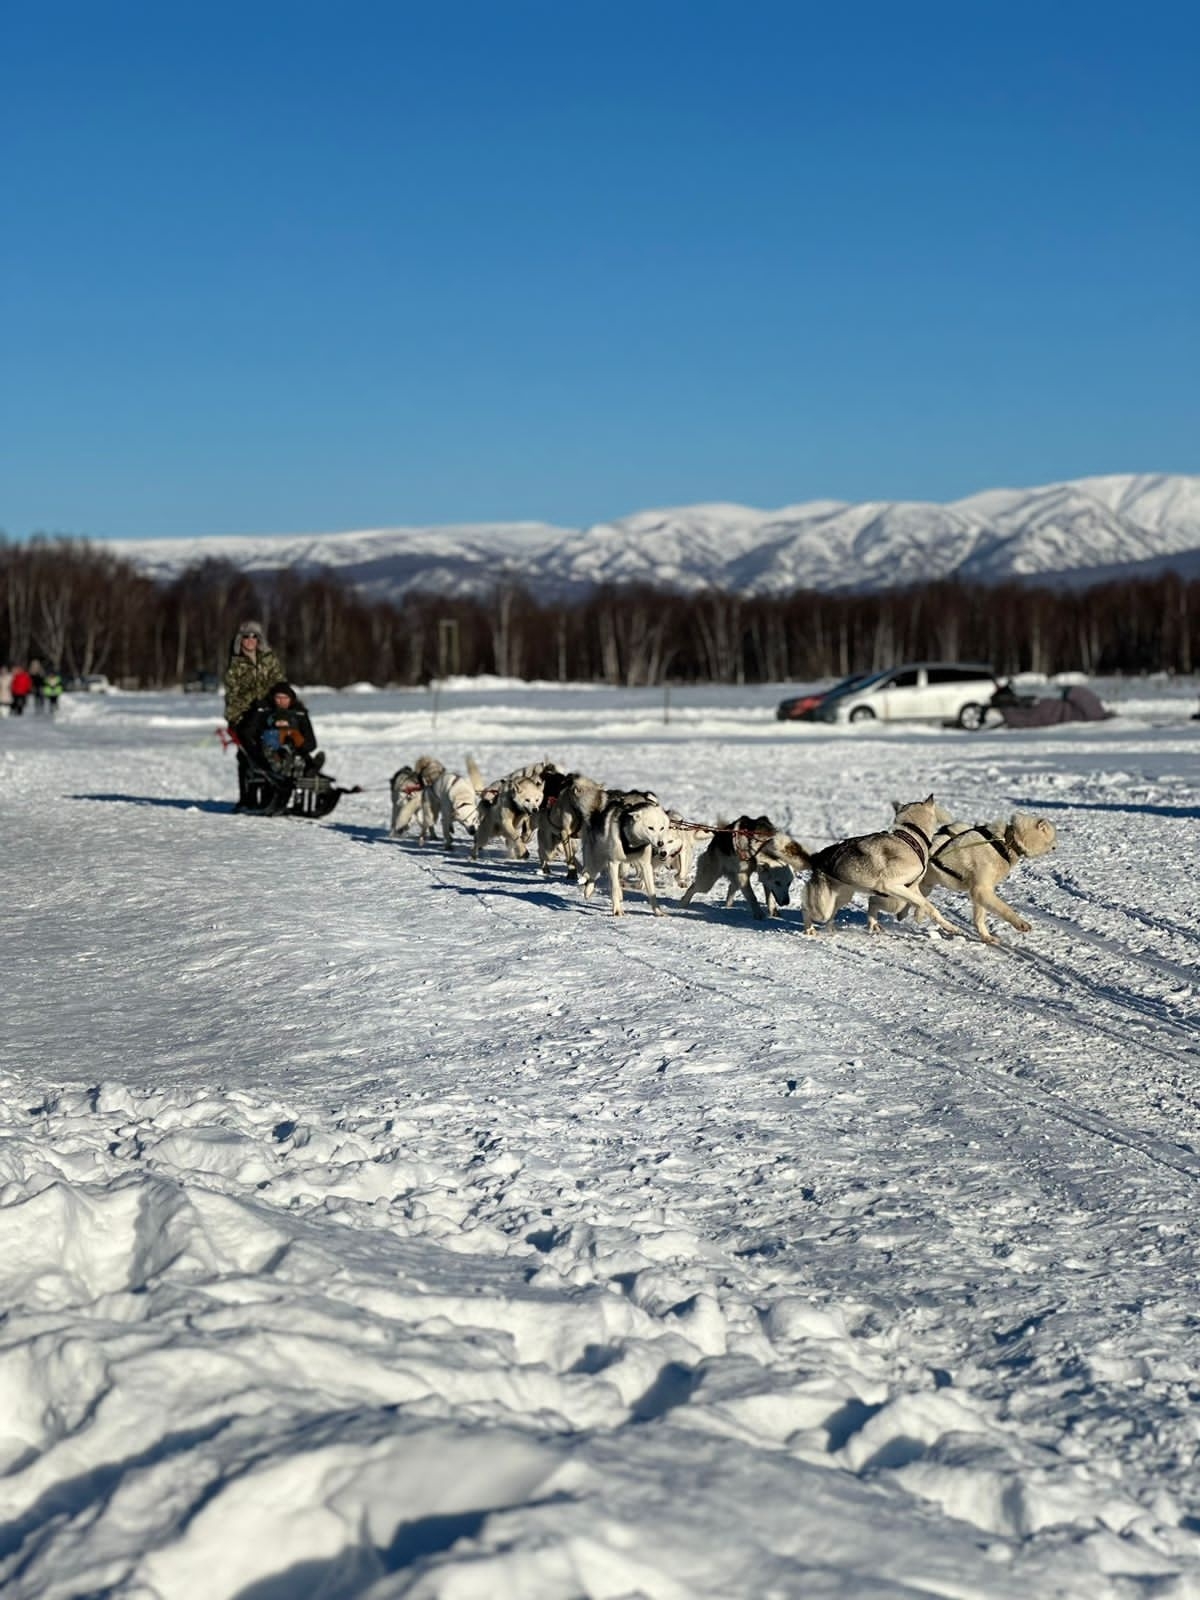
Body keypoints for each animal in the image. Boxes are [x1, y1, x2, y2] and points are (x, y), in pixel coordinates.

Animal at [800, 795, 959, 936]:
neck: (911, 836)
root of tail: (817, 858)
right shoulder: (890, 885)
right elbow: (923, 903)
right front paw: (920, 915)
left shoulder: (911, 888)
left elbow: (927, 906)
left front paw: (949, 927)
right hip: (823, 908)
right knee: (806, 909)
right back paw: (809, 929)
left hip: (843, 896)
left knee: (834, 913)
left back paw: (837, 928)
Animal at [869, 811, 1058, 944]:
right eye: (1052, 836)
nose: (1057, 846)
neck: (1004, 841)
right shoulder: (981, 890)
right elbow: (1005, 909)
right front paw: (1021, 924)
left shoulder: (980, 892)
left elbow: (980, 917)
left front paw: (986, 936)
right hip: (895, 898)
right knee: (873, 900)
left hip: (921, 888)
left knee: (913, 903)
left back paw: (911, 914)